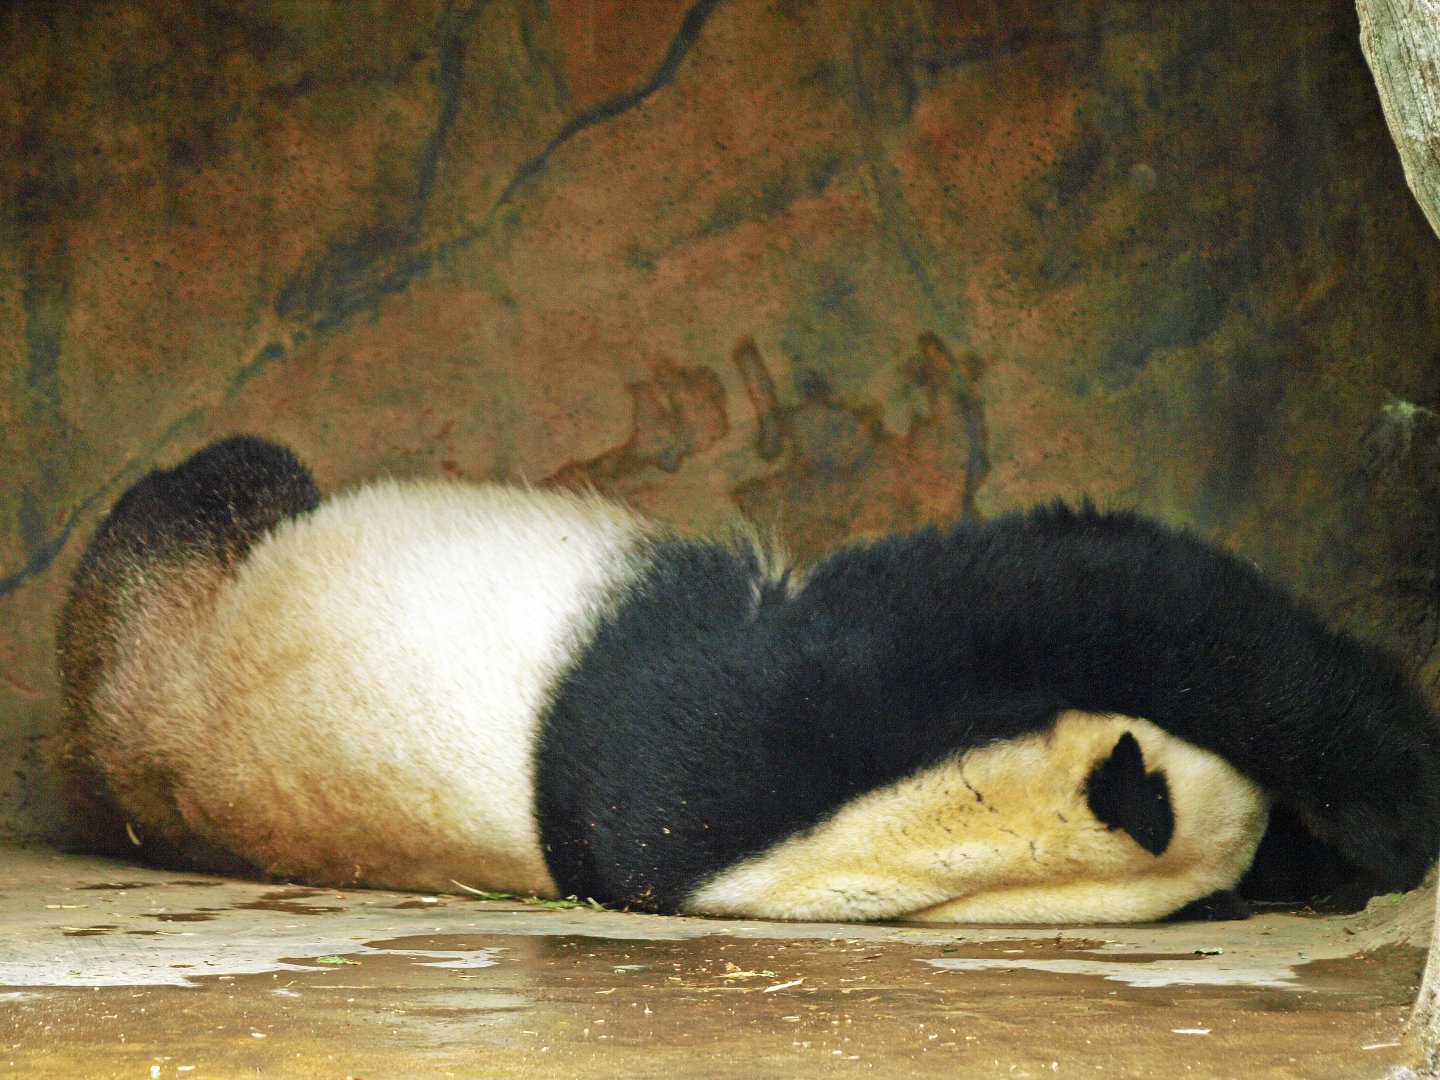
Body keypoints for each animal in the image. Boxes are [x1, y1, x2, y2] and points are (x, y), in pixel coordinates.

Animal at [51, 435, 1440, 924]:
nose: (1286, 859)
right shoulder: (778, 708)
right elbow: (1105, 585)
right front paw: (1392, 799)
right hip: (209, 584)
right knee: (211, 492)